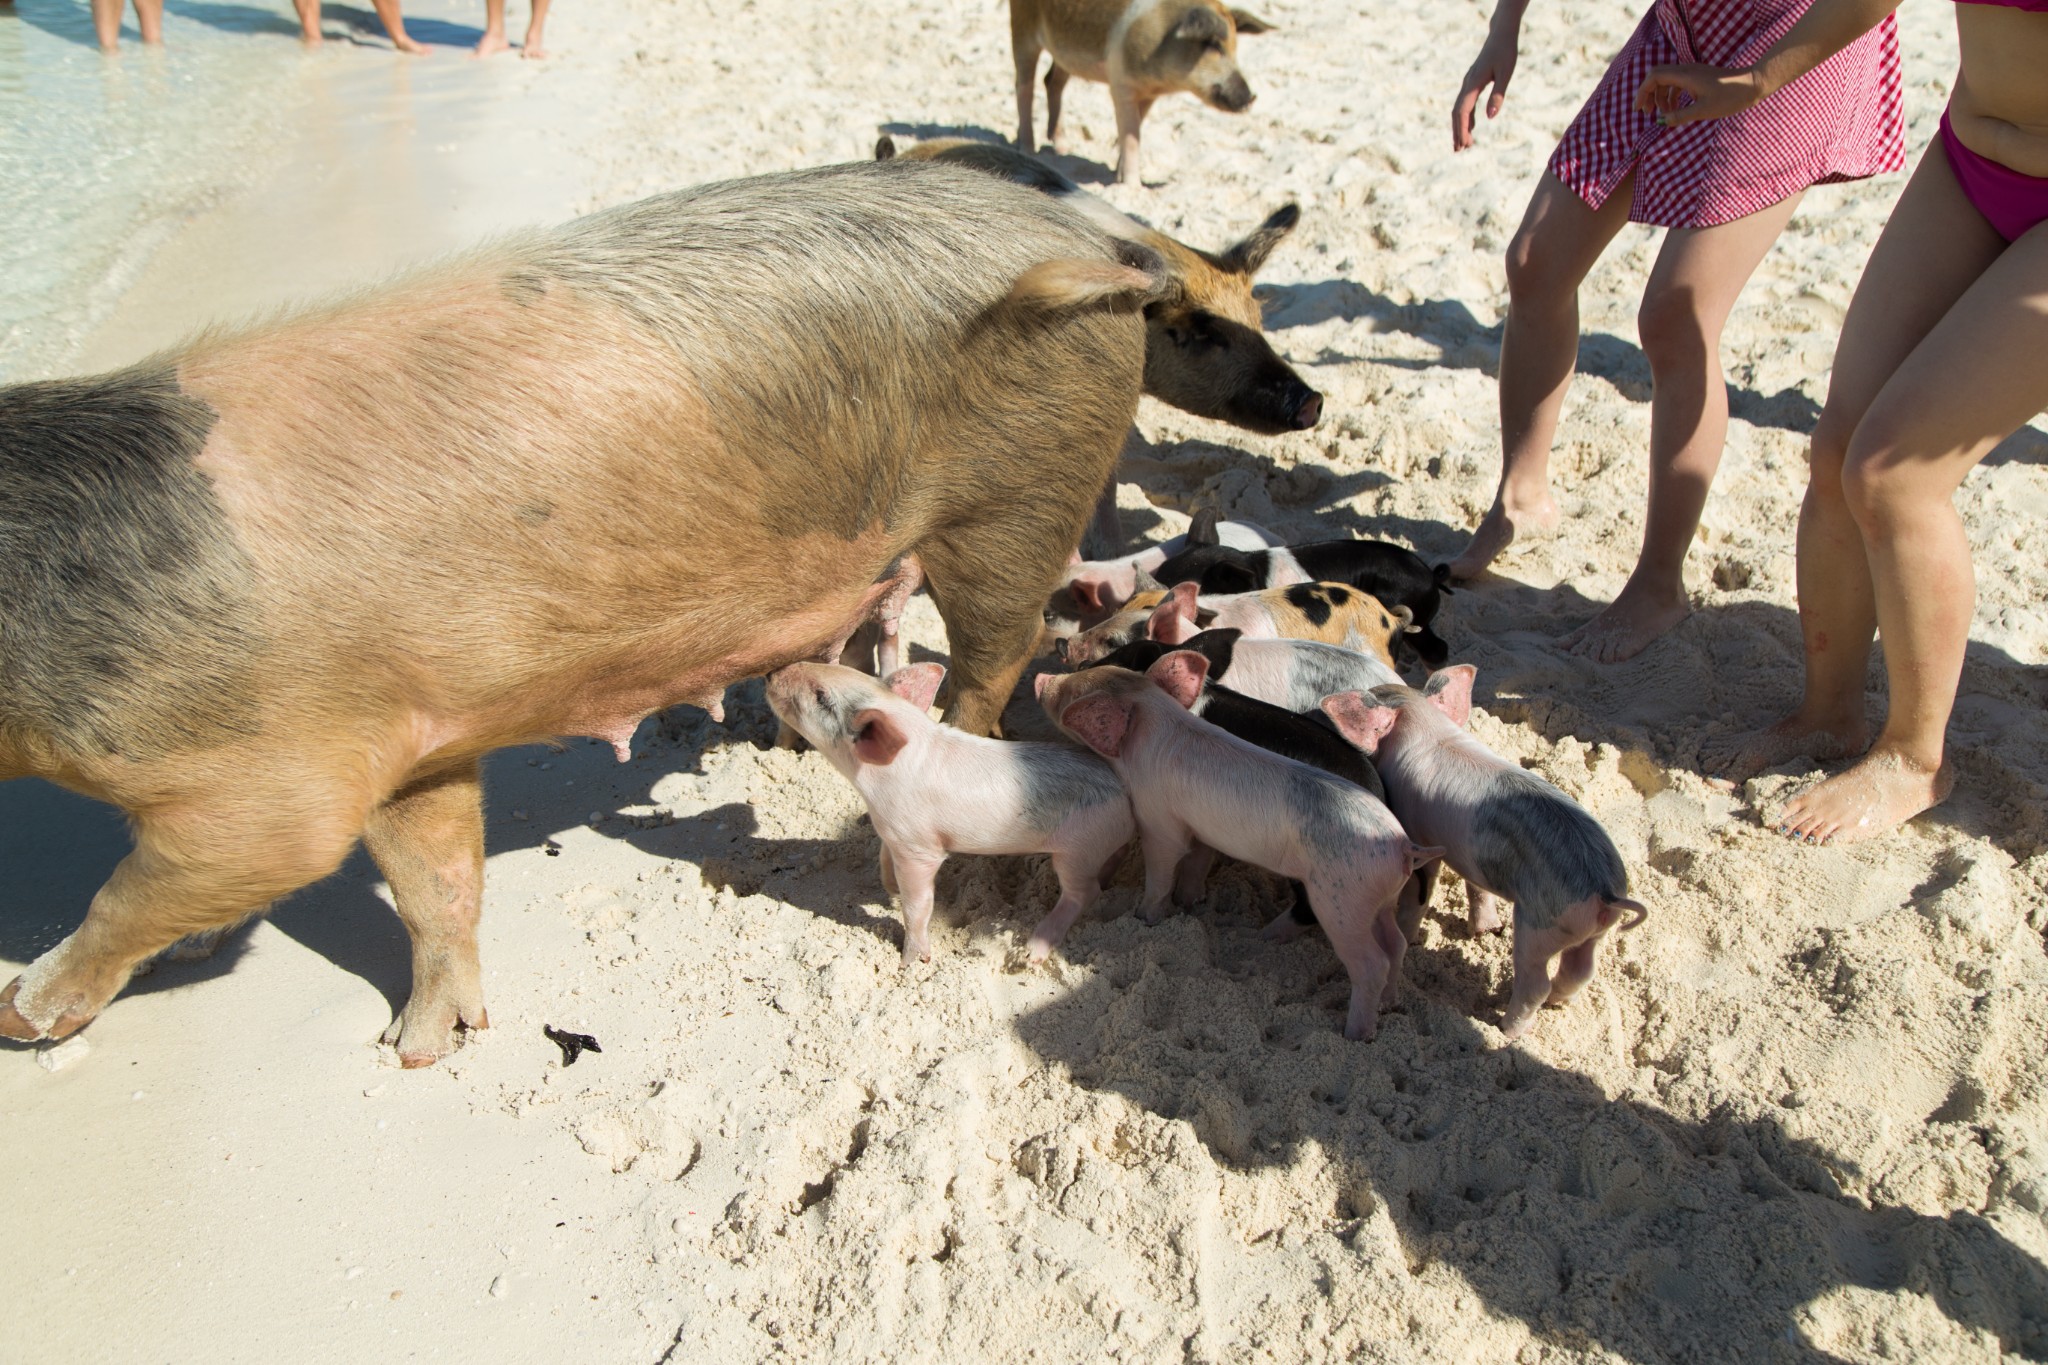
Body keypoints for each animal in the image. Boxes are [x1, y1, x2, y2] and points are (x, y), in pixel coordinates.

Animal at [765, 658, 1130, 961]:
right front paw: (890, 891)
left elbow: (919, 905)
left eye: (821, 697)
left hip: (1079, 847)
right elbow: (883, 859)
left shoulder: (919, 848)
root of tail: (1126, 794)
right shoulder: (893, 833)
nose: (770, 673)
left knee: (1084, 893)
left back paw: (1030, 954)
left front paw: (912, 962)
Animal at [1040, 654, 1441, 1039]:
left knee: (1371, 962)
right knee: (1396, 944)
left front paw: (1145, 918)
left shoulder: (1159, 819)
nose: (1043, 679)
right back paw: (1389, 1004)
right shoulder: (1200, 827)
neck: (1154, 718)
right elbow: (1197, 861)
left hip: (1343, 901)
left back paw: (1355, 1033)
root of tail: (1404, 847)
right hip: (1381, 899)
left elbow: (1161, 870)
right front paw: (1189, 904)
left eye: (1071, 698)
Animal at [1327, 667, 1646, 1039]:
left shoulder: (1418, 831)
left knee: (1536, 982)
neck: (1424, 725)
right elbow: (1476, 888)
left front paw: (1412, 936)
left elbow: (1420, 893)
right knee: (1581, 970)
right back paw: (1558, 1001)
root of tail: (1605, 891)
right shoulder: (1472, 861)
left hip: (1540, 925)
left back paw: (1505, 1029)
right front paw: (1483, 928)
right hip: (1594, 932)